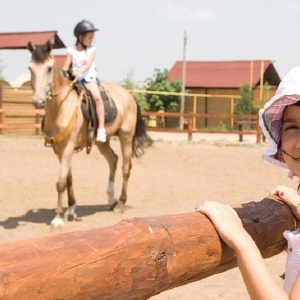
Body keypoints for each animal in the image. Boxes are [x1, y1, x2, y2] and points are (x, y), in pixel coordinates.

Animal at [27, 40, 154, 227]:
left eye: (49, 68)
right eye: (30, 68)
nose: (38, 101)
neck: (61, 108)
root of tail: (128, 95)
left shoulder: (68, 147)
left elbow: (61, 181)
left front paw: (58, 218)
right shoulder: (58, 150)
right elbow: (69, 179)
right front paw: (71, 209)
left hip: (126, 136)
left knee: (125, 167)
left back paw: (120, 203)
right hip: (103, 142)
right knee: (113, 160)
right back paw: (111, 200)